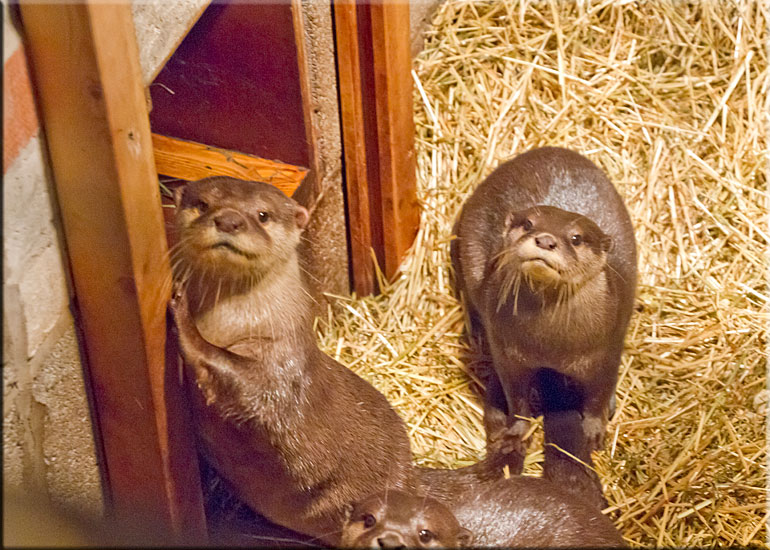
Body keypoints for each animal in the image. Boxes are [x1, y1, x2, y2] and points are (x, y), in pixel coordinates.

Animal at [169, 177, 416, 545]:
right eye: (202, 204)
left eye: (262, 214)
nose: (229, 220)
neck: (235, 323)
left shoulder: (282, 361)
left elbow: (246, 384)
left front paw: (183, 316)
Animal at [451, 147, 637, 507]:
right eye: (528, 224)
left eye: (576, 238)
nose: (546, 240)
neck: (552, 344)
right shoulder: (510, 355)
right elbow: (517, 397)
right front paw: (516, 432)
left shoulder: (605, 351)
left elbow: (598, 391)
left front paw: (594, 431)